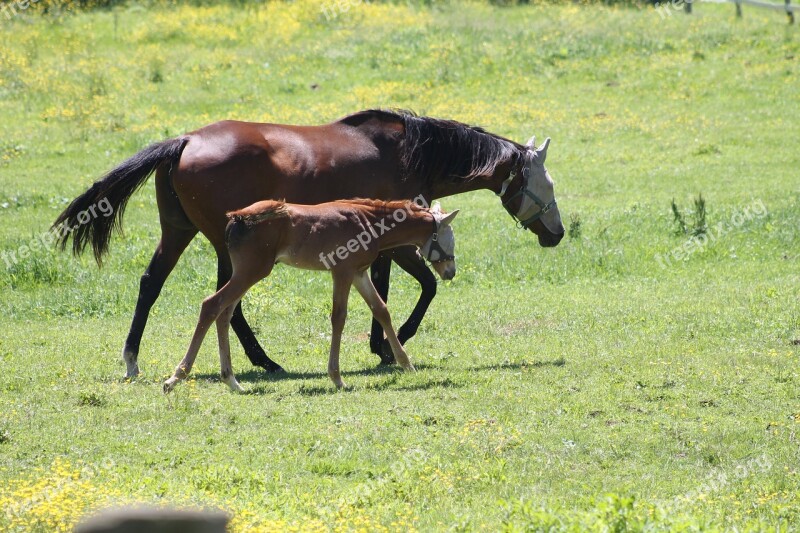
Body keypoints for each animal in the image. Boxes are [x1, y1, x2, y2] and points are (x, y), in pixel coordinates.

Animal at [162, 197, 460, 392]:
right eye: (449, 239)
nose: (451, 272)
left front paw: (406, 364)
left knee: (225, 313)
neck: (366, 221)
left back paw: (232, 380)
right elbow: (339, 317)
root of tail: (238, 216)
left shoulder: (359, 273)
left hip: (245, 273)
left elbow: (381, 310)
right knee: (212, 305)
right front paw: (337, 377)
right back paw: (176, 377)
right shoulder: (342, 271)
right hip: (252, 271)